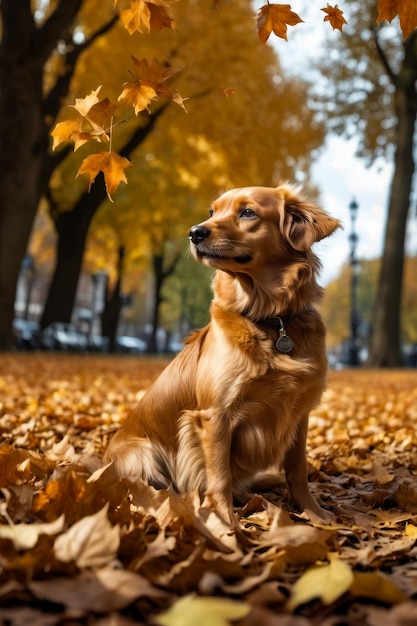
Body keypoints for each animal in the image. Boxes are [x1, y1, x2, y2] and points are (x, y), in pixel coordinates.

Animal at [103, 184, 338, 520]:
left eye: (248, 212)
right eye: (213, 212)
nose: (194, 232)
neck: (272, 320)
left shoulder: (299, 414)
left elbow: (297, 470)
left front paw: (315, 514)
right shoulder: (215, 416)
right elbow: (219, 475)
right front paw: (224, 520)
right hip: (142, 454)